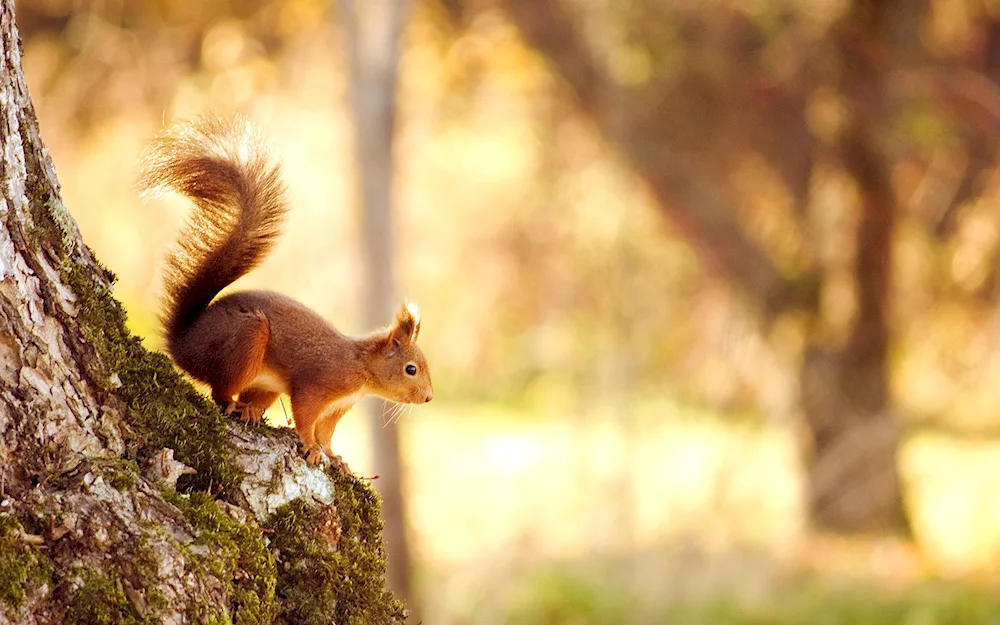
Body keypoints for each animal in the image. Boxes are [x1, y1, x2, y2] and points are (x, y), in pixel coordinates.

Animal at [141, 117, 434, 466]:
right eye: (410, 369)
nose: (429, 397)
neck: (360, 368)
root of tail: (184, 345)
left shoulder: (337, 407)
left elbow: (326, 433)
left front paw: (334, 456)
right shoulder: (318, 386)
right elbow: (306, 416)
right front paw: (310, 446)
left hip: (265, 383)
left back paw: (251, 410)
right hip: (245, 340)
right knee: (219, 391)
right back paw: (235, 404)